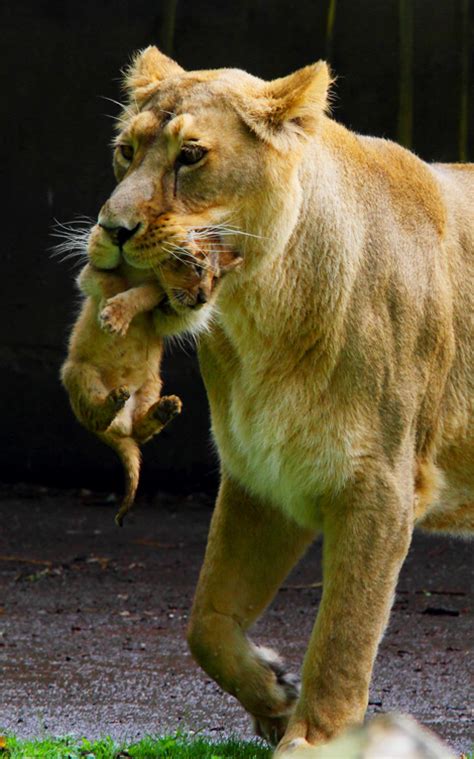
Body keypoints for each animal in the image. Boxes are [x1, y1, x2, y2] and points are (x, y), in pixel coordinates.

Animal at [90, 46, 474, 756]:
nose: (112, 229)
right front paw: (273, 694)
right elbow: (205, 622)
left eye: (191, 156)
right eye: (126, 151)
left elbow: (344, 634)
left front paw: (311, 738)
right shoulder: (263, 476)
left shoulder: (380, 486)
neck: (262, 315)